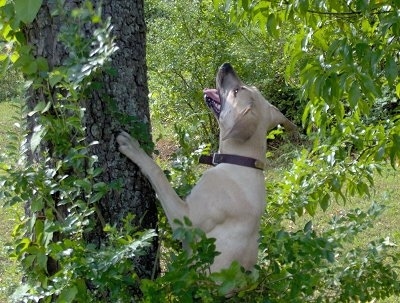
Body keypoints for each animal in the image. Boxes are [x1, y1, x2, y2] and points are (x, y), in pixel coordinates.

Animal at [117, 63, 296, 272]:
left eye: (236, 92)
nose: (226, 65)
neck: (240, 161)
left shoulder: (185, 219)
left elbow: (157, 173)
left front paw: (134, 148)